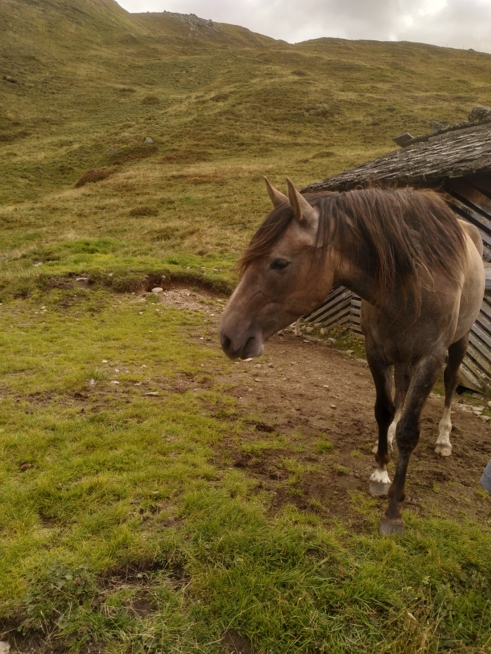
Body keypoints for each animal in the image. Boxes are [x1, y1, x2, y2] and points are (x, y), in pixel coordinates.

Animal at [218, 177, 484, 536]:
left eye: (280, 263)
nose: (228, 336)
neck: (410, 283)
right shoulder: (376, 352)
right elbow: (384, 411)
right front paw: (381, 471)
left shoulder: (430, 358)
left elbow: (410, 432)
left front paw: (393, 511)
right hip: (401, 357)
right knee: (401, 390)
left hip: (458, 343)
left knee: (452, 382)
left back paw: (444, 439)